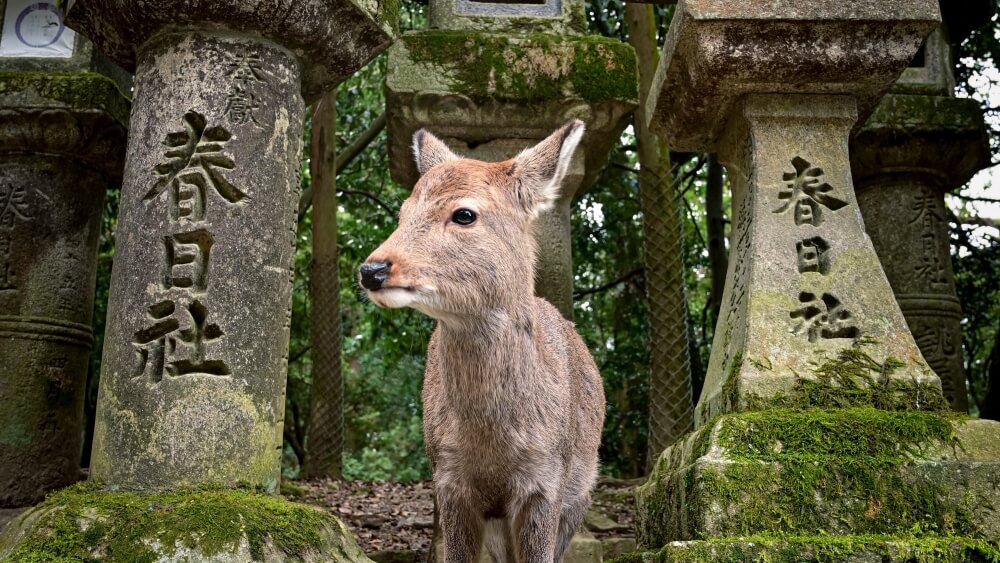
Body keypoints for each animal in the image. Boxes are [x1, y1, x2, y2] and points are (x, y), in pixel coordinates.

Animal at [362, 121, 608, 563]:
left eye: (464, 214)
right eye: (403, 212)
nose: (371, 270)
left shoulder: (548, 483)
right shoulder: (448, 481)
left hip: (579, 496)